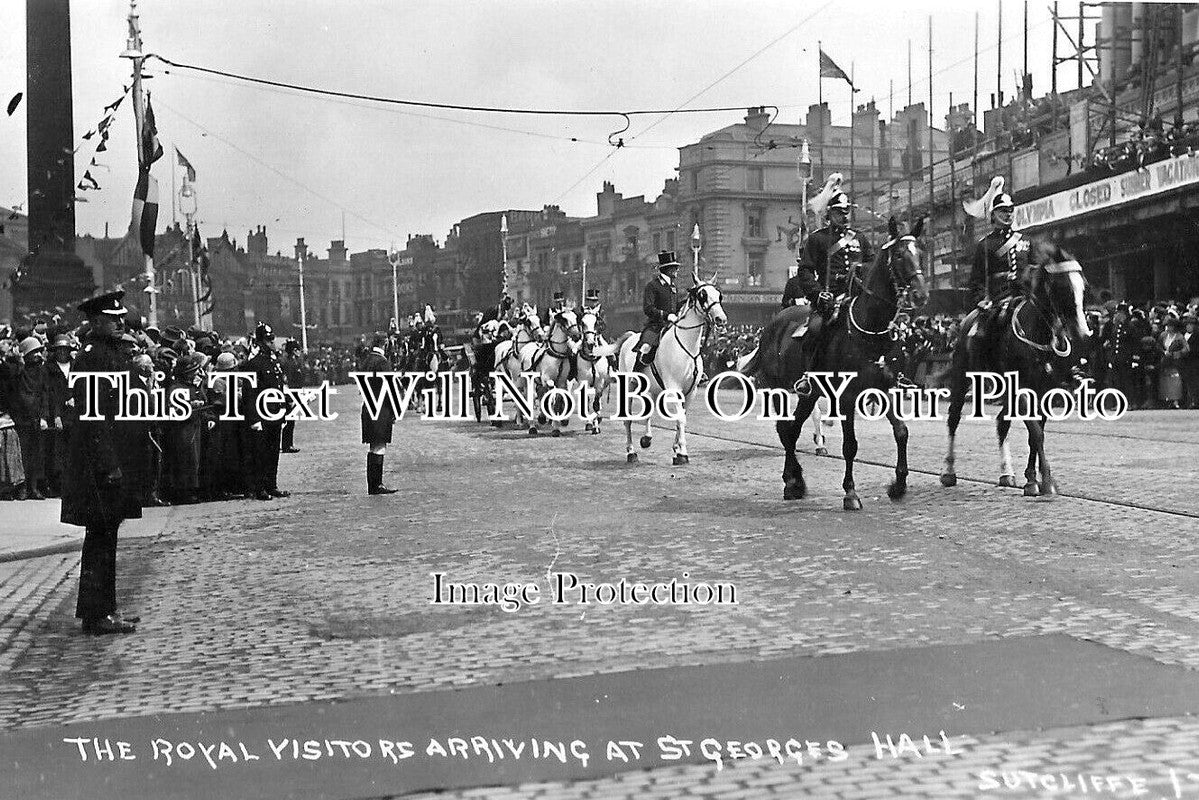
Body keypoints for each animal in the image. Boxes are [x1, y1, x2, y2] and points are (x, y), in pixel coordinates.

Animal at [613, 275, 724, 462]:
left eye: (718, 295)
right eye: (702, 295)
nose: (721, 319)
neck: (686, 346)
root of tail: (630, 338)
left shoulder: (690, 391)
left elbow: (682, 419)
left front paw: (677, 448)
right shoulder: (674, 389)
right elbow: (680, 419)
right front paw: (682, 452)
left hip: (651, 390)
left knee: (647, 412)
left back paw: (646, 438)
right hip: (629, 387)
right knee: (627, 419)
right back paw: (631, 452)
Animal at [743, 215, 930, 510]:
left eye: (921, 252)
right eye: (900, 255)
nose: (921, 294)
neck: (871, 330)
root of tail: (772, 325)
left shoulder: (886, 389)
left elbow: (901, 431)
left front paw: (898, 485)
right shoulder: (846, 396)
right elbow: (850, 445)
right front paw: (851, 493)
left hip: (809, 394)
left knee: (792, 430)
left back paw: (795, 481)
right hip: (779, 389)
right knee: (785, 429)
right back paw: (792, 481)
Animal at [935, 241, 1098, 496]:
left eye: (1084, 286)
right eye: (1061, 287)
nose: (1083, 333)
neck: (1040, 337)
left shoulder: (1046, 390)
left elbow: (1036, 432)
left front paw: (1032, 479)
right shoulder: (1021, 388)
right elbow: (1036, 432)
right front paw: (1046, 481)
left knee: (1002, 423)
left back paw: (1006, 473)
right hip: (964, 378)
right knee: (954, 418)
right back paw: (948, 472)